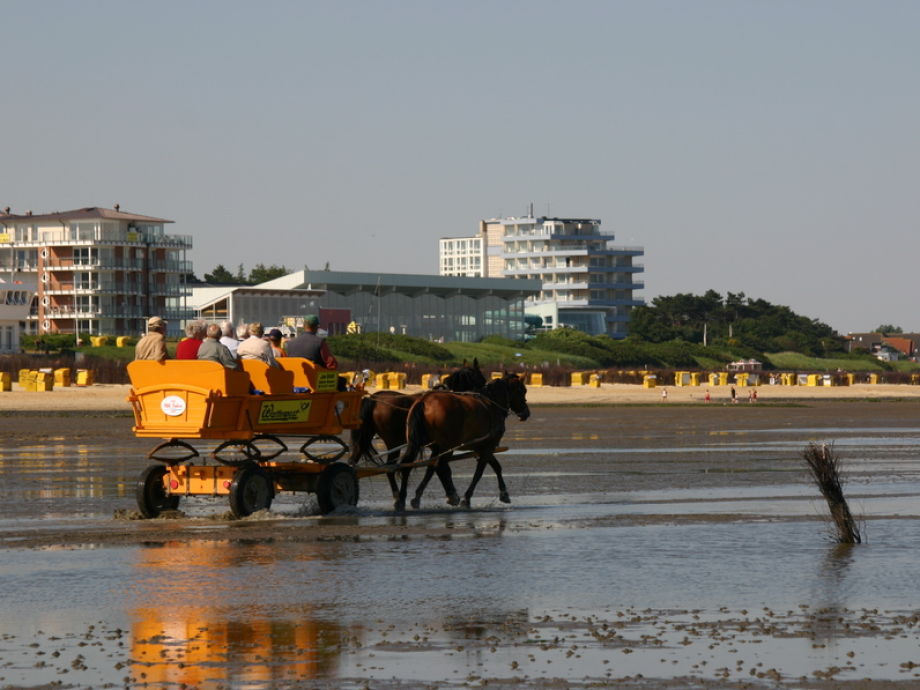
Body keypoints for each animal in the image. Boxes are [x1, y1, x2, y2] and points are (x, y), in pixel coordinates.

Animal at [398, 370, 532, 510]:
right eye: (523, 391)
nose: (526, 413)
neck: (492, 403)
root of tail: (424, 401)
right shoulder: (488, 447)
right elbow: (481, 472)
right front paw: (467, 498)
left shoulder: (481, 448)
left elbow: (496, 467)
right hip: (447, 445)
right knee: (438, 465)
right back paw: (448, 495)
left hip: (423, 444)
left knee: (412, 465)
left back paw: (403, 499)